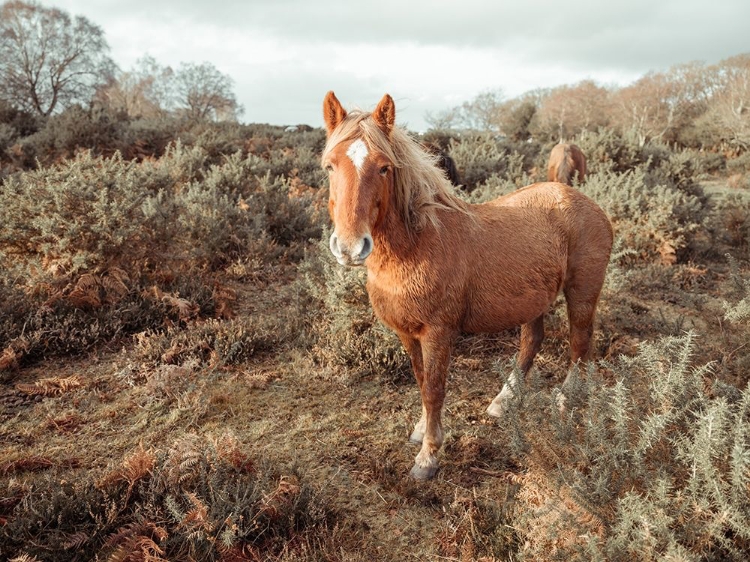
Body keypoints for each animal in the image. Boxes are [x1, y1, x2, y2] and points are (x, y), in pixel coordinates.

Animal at [324, 91, 616, 476]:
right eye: (330, 166)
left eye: (384, 167)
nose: (350, 246)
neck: (418, 245)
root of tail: (586, 202)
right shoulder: (406, 333)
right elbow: (421, 380)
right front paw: (421, 430)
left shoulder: (438, 333)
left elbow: (434, 388)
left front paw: (429, 456)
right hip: (533, 299)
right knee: (532, 341)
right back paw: (504, 400)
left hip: (582, 293)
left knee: (580, 344)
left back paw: (565, 399)